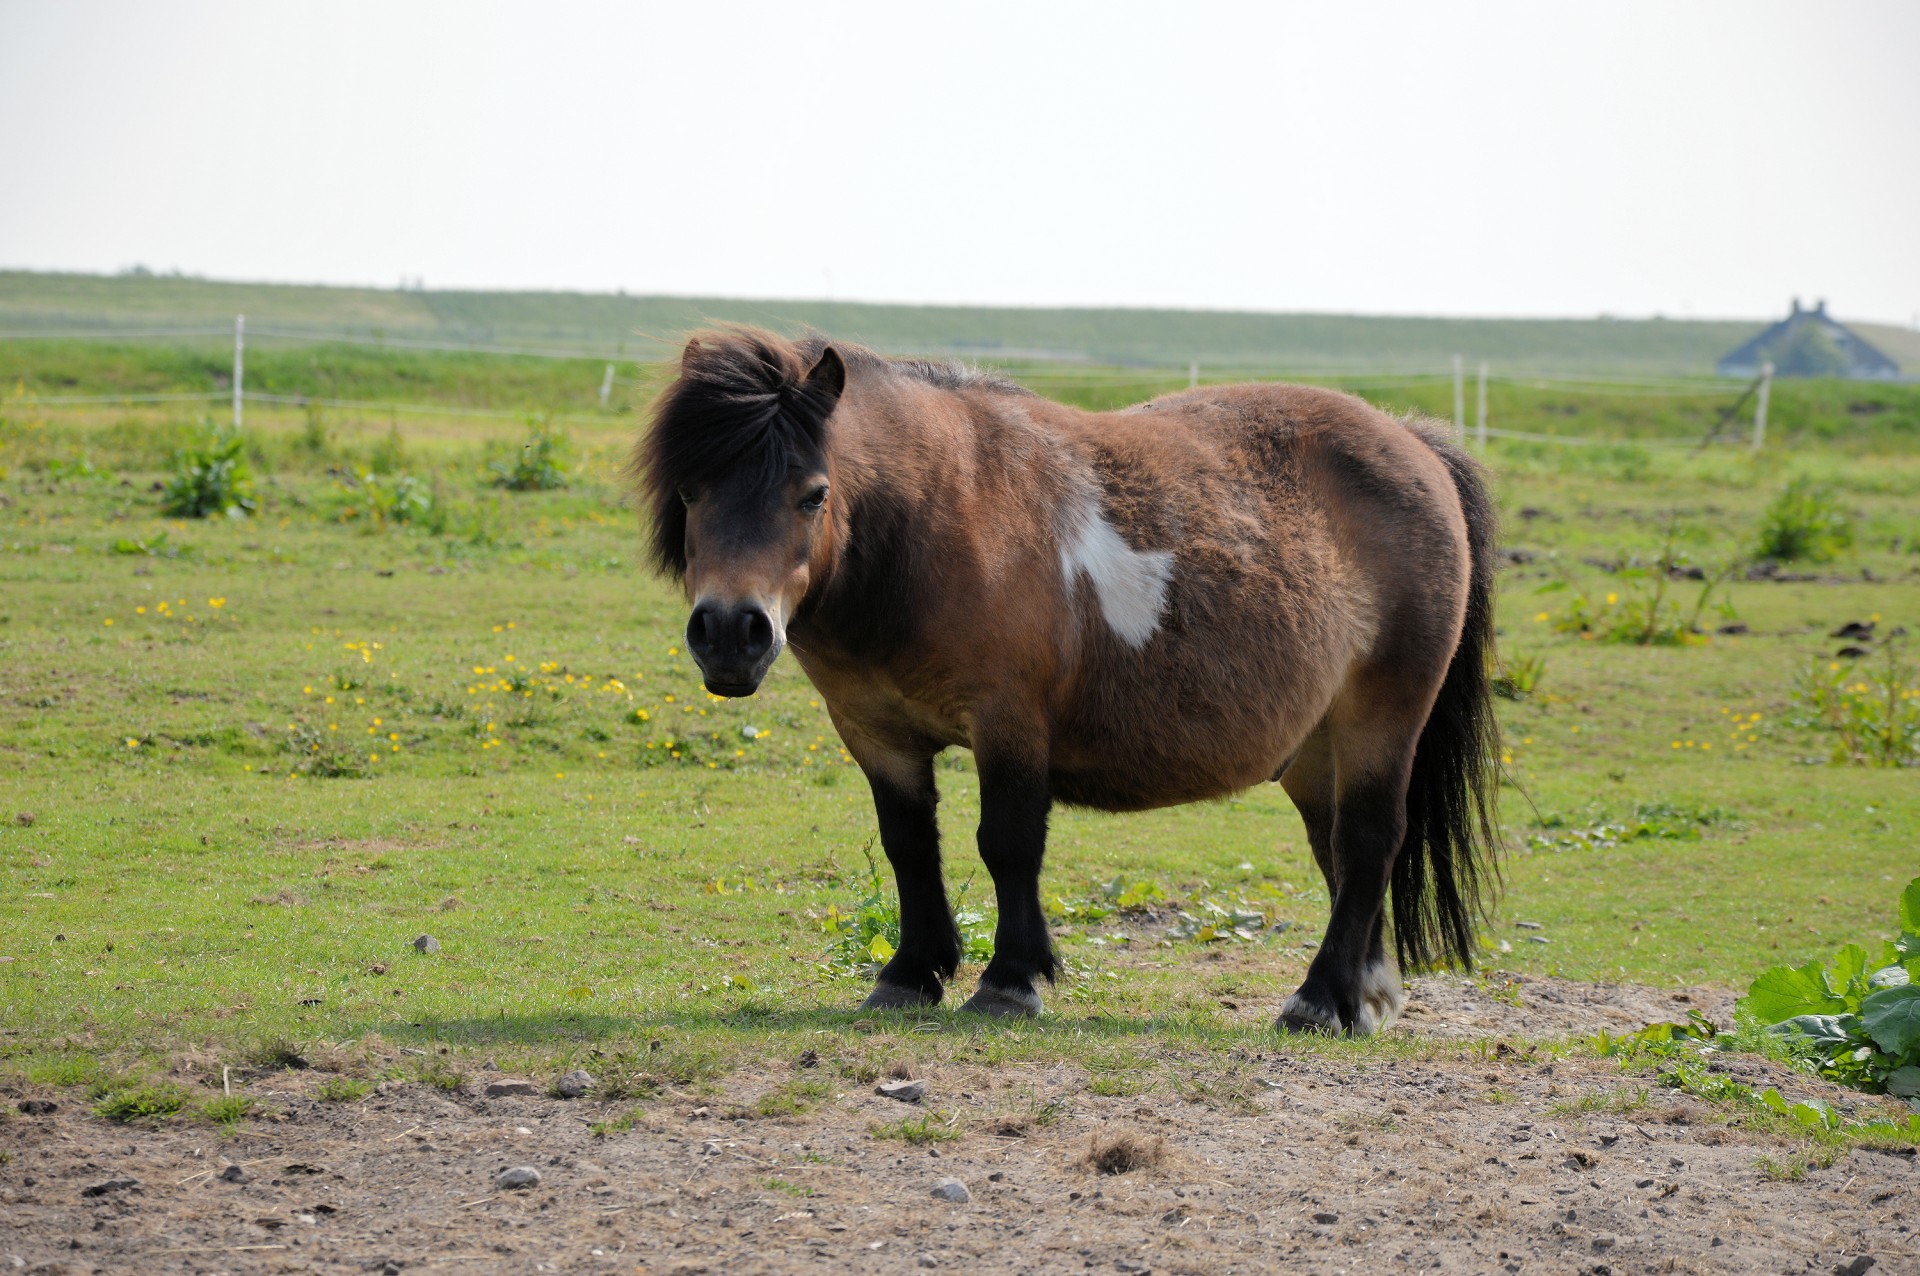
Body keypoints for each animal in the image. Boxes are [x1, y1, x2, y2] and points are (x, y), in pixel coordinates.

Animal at [629, 328, 1497, 1036]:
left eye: (813, 493)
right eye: (691, 491)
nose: (731, 632)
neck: (935, 524)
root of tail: (1414, 442)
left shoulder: (1008, 723)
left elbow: (1008, 843)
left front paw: (1009, 983)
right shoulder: (875, 732)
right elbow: (908, 844)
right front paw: (910, 976)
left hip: (1382, 716)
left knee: (1369, 839)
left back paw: (1317, 1002)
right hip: (1316, 748)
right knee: (1340, 851)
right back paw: (1364, 997)